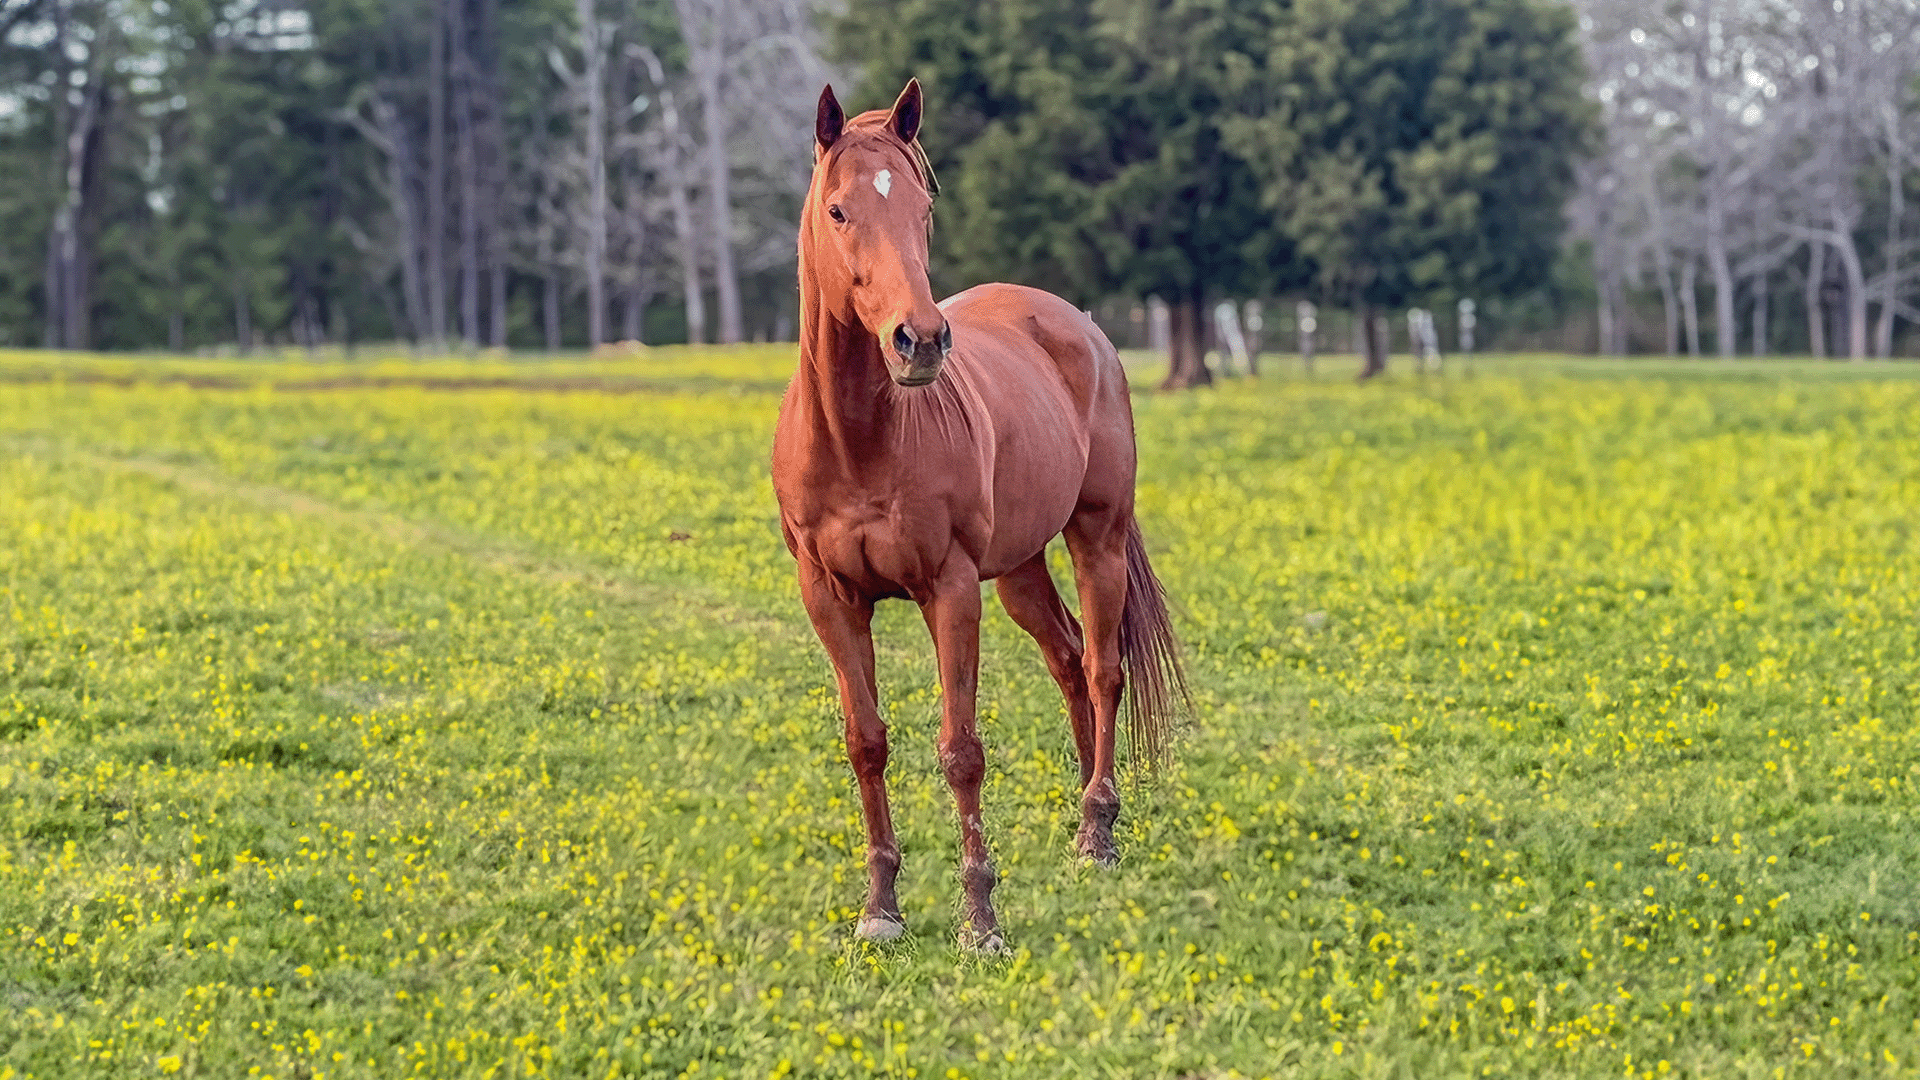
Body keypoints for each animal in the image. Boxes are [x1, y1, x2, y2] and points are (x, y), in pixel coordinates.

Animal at [768, 77, 1182, 949]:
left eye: (921, 207)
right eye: (838, 210)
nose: (919, 340)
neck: (863, 439)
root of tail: (1079, 324)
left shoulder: (950, 591)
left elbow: (961, 750)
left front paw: (980, 918)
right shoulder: (830, 597)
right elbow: (866, 743)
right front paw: (881, 910)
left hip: (1096, 538)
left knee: (1103, 668)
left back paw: (1099, 830)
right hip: (1020, 571)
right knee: (1068, 660)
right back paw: (1086, 819)